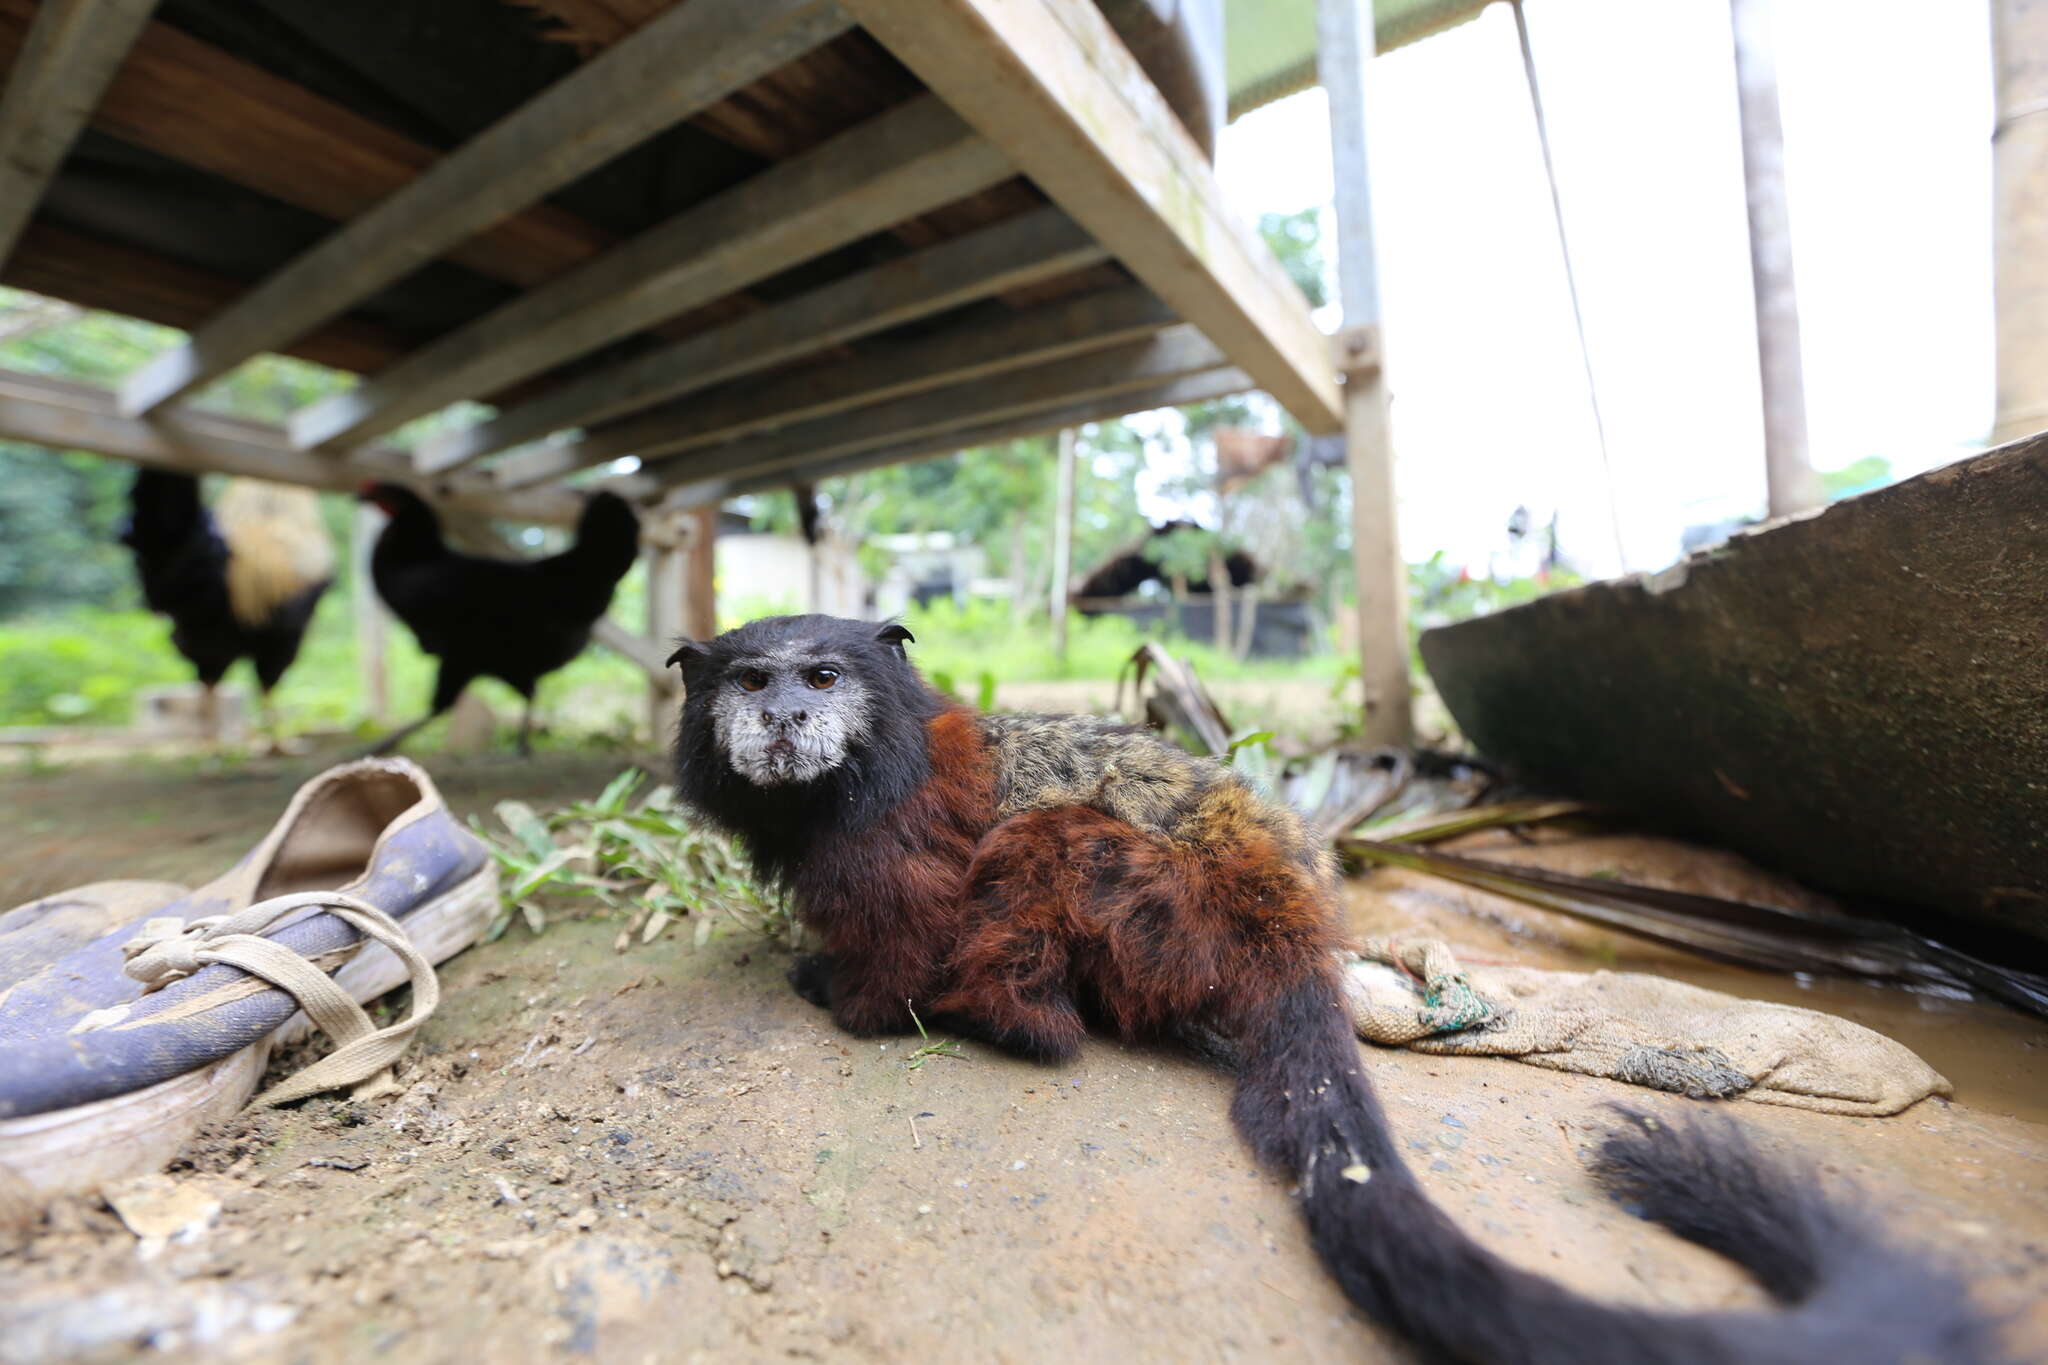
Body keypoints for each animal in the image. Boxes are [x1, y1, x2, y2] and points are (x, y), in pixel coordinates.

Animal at [667, 618, 1998, 1365]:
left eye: (821, 679)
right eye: (746, 685)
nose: (779, 719)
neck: (852, 770)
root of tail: (1289, 924)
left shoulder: (890, 847)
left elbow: (896, 953)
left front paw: (843, 994)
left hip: (1157, 910)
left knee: (1054, 852)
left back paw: (1013, 1020)